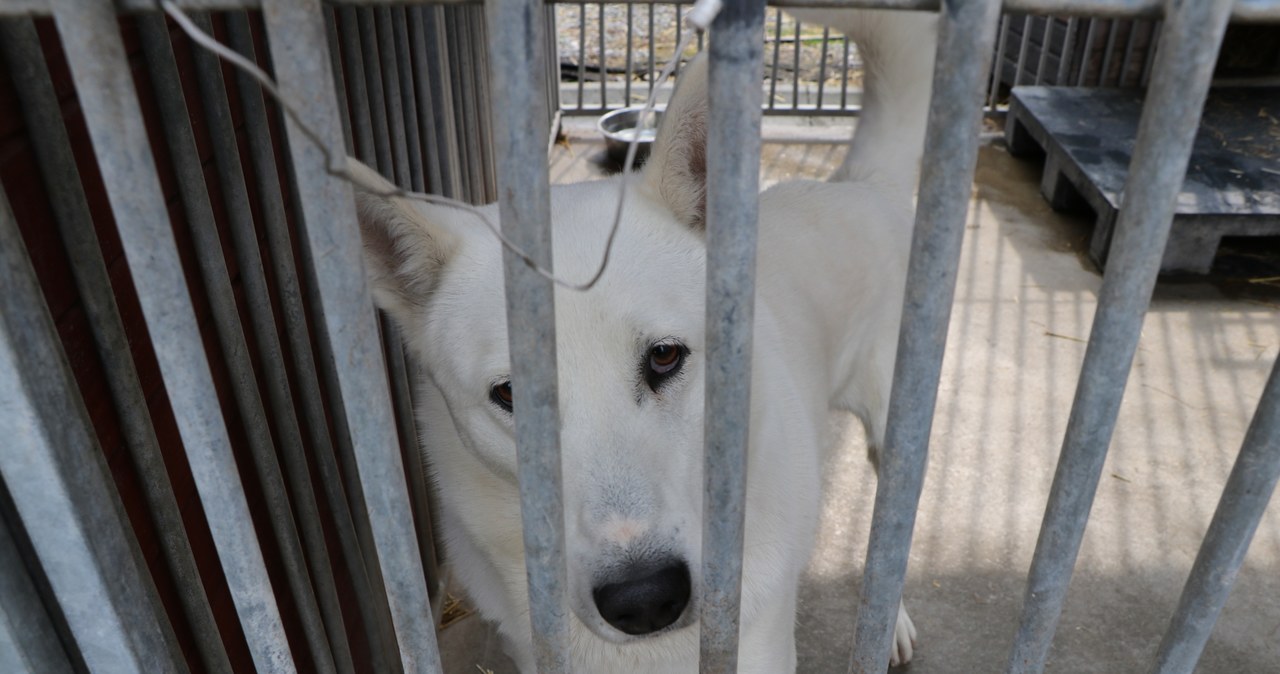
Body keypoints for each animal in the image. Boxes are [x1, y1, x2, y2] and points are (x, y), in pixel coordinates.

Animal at [355, 9, 936, 670]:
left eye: (664, 357)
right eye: (512, 396)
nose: (645, 598)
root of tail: (857, 184)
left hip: (895, 429)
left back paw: (886, 625)